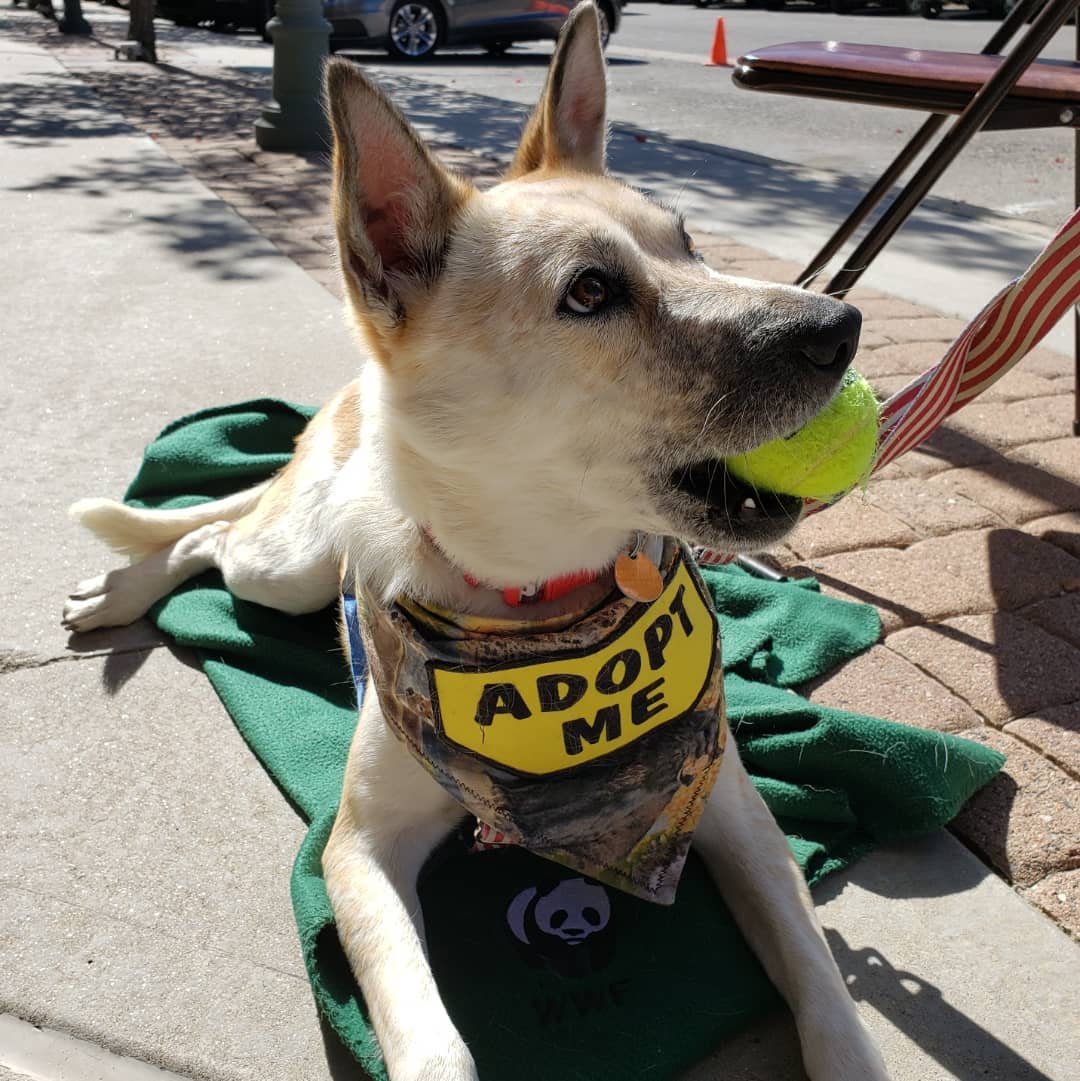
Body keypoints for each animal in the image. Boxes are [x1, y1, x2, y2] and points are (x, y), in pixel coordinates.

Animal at [61, 4, 886, 1076]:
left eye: (690, 242)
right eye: (589, 292)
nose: (843, 325)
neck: (534, 597)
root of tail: (347, 405)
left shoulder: (737, 812)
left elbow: (821, 982)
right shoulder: (354, 848)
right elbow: (431, 1043)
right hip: (286, 567)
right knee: (214, 533)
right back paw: (123, 588)